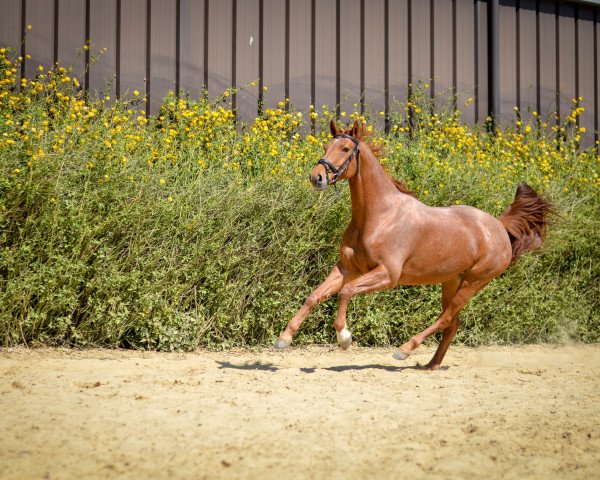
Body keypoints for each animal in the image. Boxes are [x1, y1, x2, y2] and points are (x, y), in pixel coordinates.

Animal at [274, 119, 552, 368]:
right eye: (325, 146)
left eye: (344, 149)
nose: (317, 177)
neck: (379, 216)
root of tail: (499, 227)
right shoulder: (347, 268)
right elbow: (314, 296)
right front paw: (283, 339)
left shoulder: (388, 275)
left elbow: (347, 291)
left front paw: (344, 338)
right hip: (451, 282)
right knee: (453, 324)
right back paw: (431, 365)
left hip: (474, 282)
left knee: (446, 318)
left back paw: (404, 350)